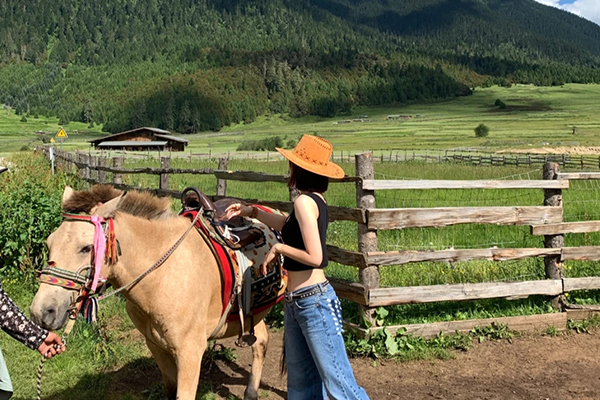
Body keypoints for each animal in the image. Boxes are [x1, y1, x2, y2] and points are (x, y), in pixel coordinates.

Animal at [29, 185, 276, 400]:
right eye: (49, 243)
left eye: (86, 247)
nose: (41, 311)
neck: (162, 277)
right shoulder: (156, 347)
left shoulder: (190, 353)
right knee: (261, 340)